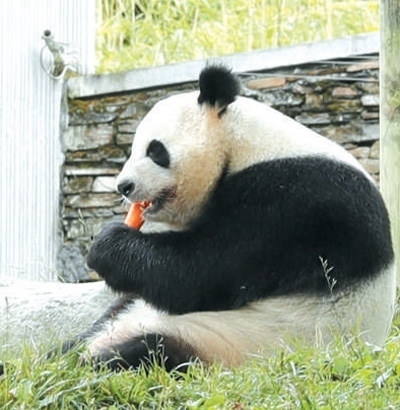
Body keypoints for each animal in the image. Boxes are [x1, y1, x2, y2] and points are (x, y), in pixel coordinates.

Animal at [65, 65, 396, 372]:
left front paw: (108, 244)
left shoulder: (295, 203)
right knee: (102, 324)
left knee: (151, 351)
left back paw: (97, 361)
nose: (124, 186)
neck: (244, 145)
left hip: (231, 342)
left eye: (156, 150)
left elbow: (201, 273)